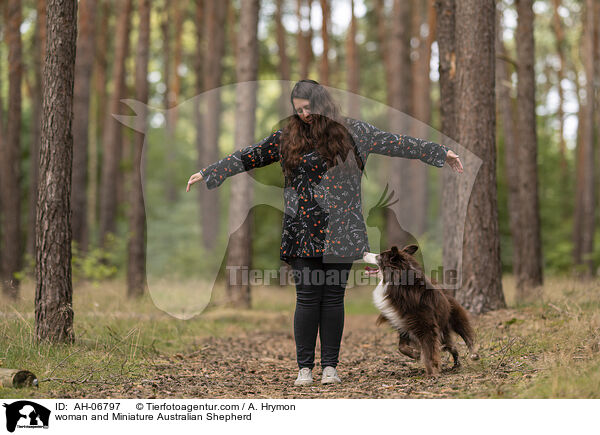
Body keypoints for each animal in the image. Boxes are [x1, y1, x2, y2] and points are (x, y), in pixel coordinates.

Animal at [360, 245, 478, 378]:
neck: (399, 286)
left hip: (454, 316)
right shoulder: (404, 324)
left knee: (466, 334)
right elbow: (401, 347)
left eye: (379, 256)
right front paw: (416, 354)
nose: (364, 252)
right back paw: (455, 363)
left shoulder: (426, 326)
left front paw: (432, 372)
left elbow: (429, 351)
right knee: (451, 346)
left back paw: (473, 354)